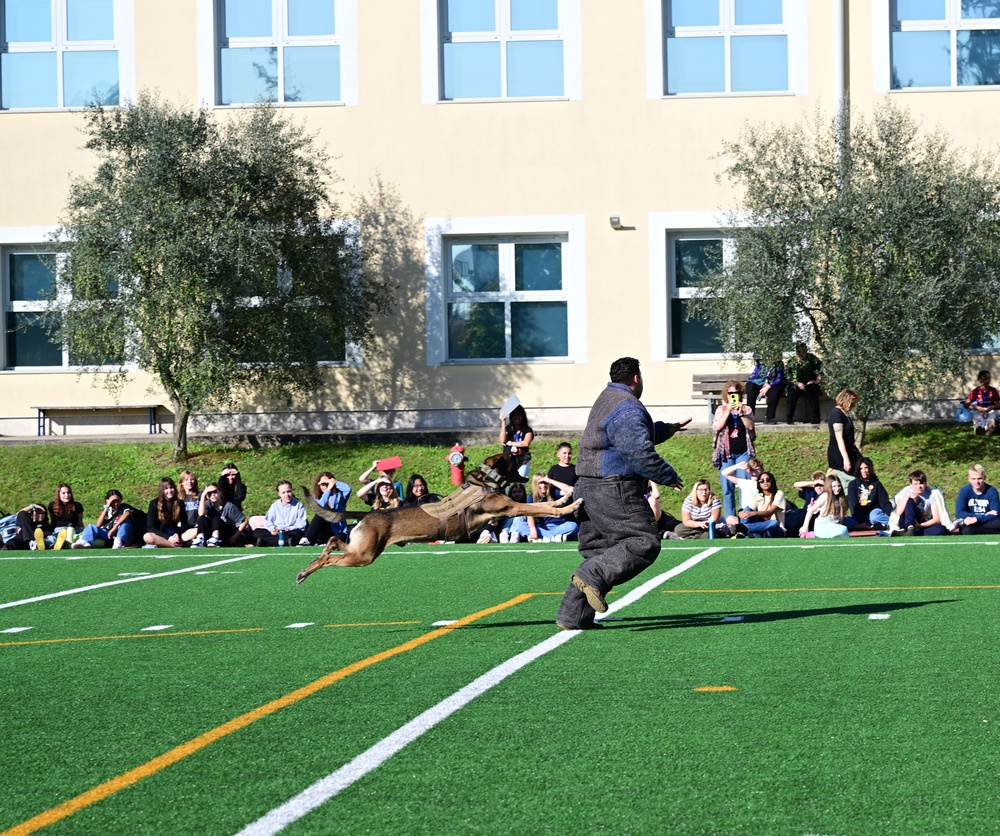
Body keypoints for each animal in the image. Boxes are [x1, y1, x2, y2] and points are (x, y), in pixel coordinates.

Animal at [292, 454, 584, 584]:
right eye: (514, 455)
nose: (527, 452)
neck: (484, 483)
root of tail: (369, 513)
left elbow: (545, 504)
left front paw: (564, 497)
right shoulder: (510, 508)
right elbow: (540, 508)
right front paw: (569, 506)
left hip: (362, 549)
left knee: (332, 540)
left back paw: (311, 562)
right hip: (364, 555)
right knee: (331, 556)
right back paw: (306, 571)